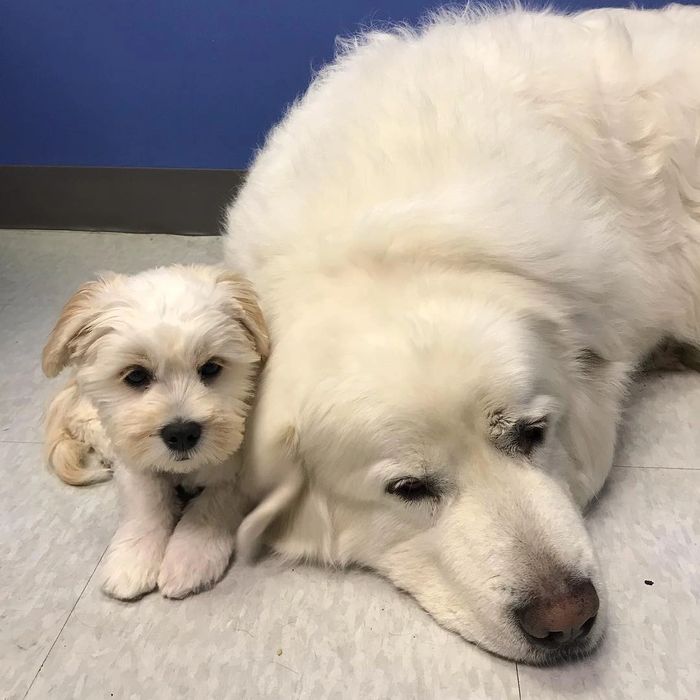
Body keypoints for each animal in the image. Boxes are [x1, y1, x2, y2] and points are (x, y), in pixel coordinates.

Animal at [41, 266, 268, 600]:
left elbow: (212, 505)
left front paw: (190, 557)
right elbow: (147, 504)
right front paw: (133, 560)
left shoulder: (239, 472)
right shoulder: (137, 463)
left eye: (211, 368)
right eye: (135, 375)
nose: (182, 433)